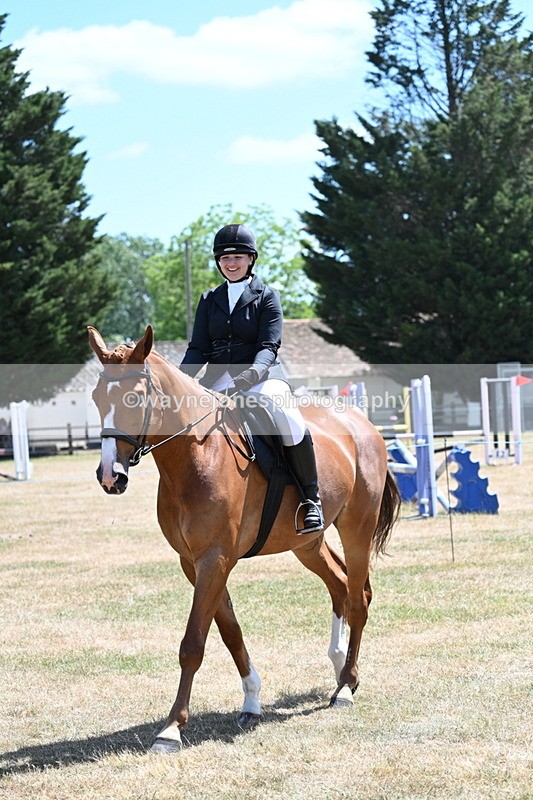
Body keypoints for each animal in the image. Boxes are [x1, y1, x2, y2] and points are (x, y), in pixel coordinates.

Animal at [88, 324, 401, 754]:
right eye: (97, 398)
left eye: (134, 398)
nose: (109, 476)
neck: (196, 455)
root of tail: (361, 422)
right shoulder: (195, 562)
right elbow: (230, 632)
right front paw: (252, 702)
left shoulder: (215, 559)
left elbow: (193, 643)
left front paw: (171, 728)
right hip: (307, 543)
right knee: (339, 585)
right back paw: (338, 666)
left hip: (357, 528)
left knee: (357, 598)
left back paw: (347, 686)